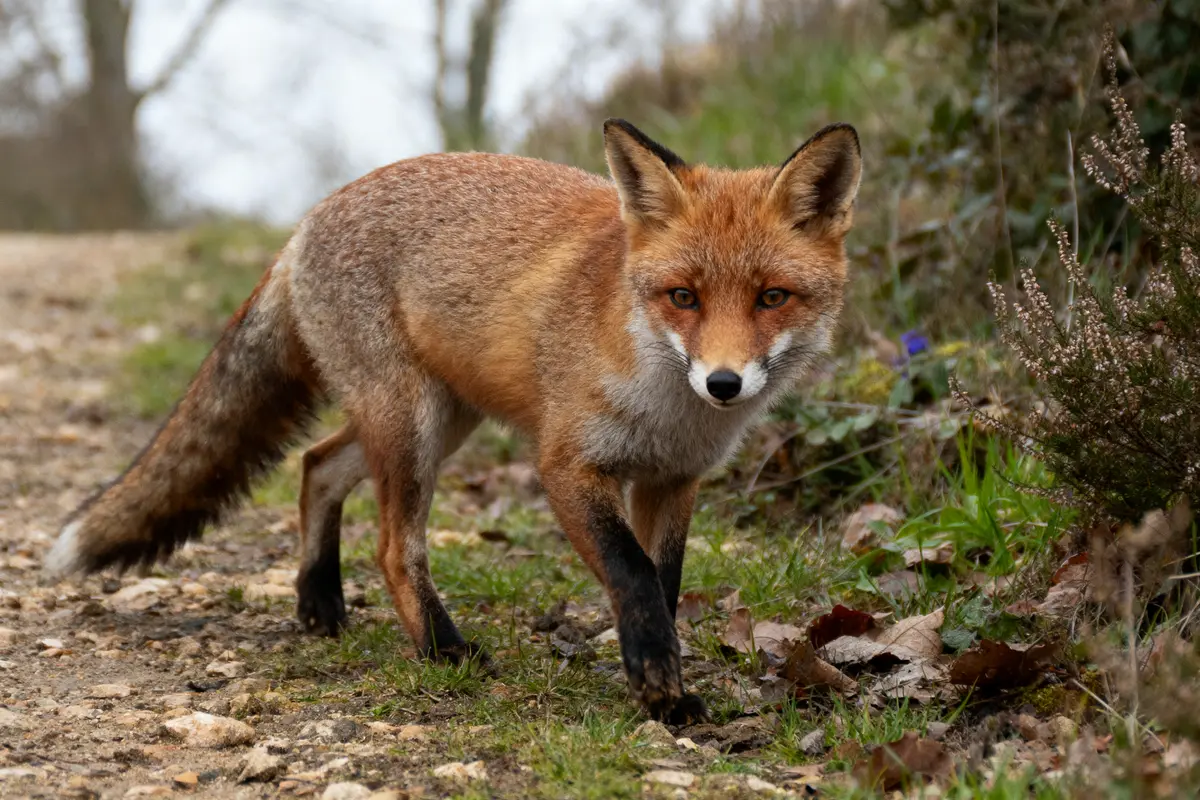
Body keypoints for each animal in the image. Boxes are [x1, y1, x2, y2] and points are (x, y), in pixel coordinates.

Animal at [45, 119, 861, 722]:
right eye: (683, 297)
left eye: (772, 298)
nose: (723, 383)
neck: (667, 408)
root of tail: (310, 217)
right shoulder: (566, 466)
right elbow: (631, 574)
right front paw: (656, 678)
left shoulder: (672, 480)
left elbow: (662, 582)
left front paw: (663, 686)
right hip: (411, 426)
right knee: (392, 546)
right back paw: (441, 648)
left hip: (437, 421)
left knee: (317, 464)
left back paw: (318, 602)